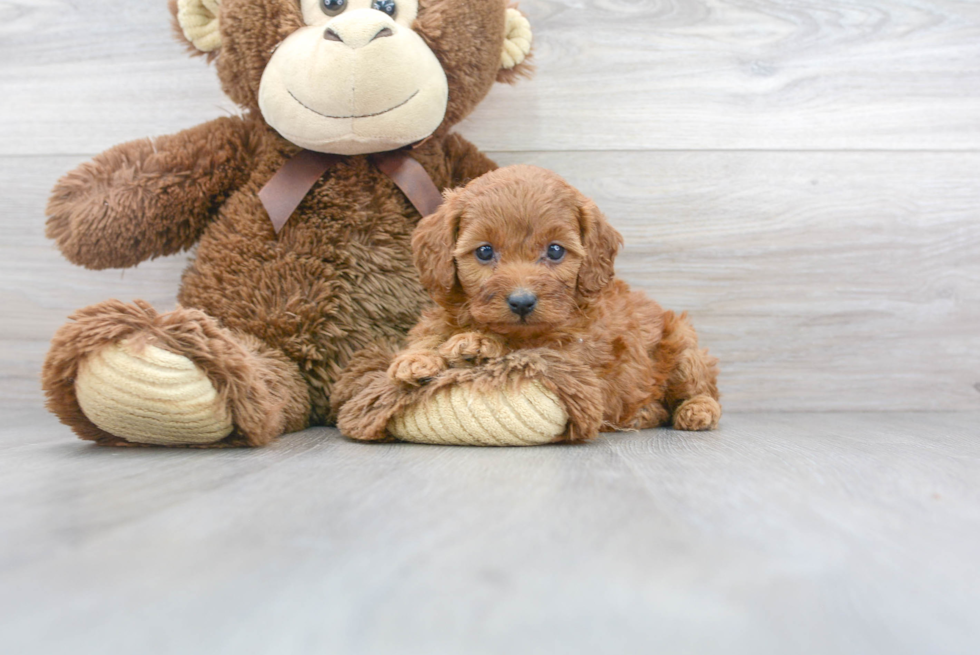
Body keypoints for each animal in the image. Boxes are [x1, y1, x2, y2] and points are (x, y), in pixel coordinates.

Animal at [388, 165, 720, 436]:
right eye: (484, 251)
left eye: (556, 250)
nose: (522, 302)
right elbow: (431, 332)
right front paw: (417, 358)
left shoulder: (574, 354)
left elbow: (527, 352)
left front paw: (478, 346)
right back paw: (644, 413)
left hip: (683, 346)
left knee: (702, 386)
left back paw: (697, 409)